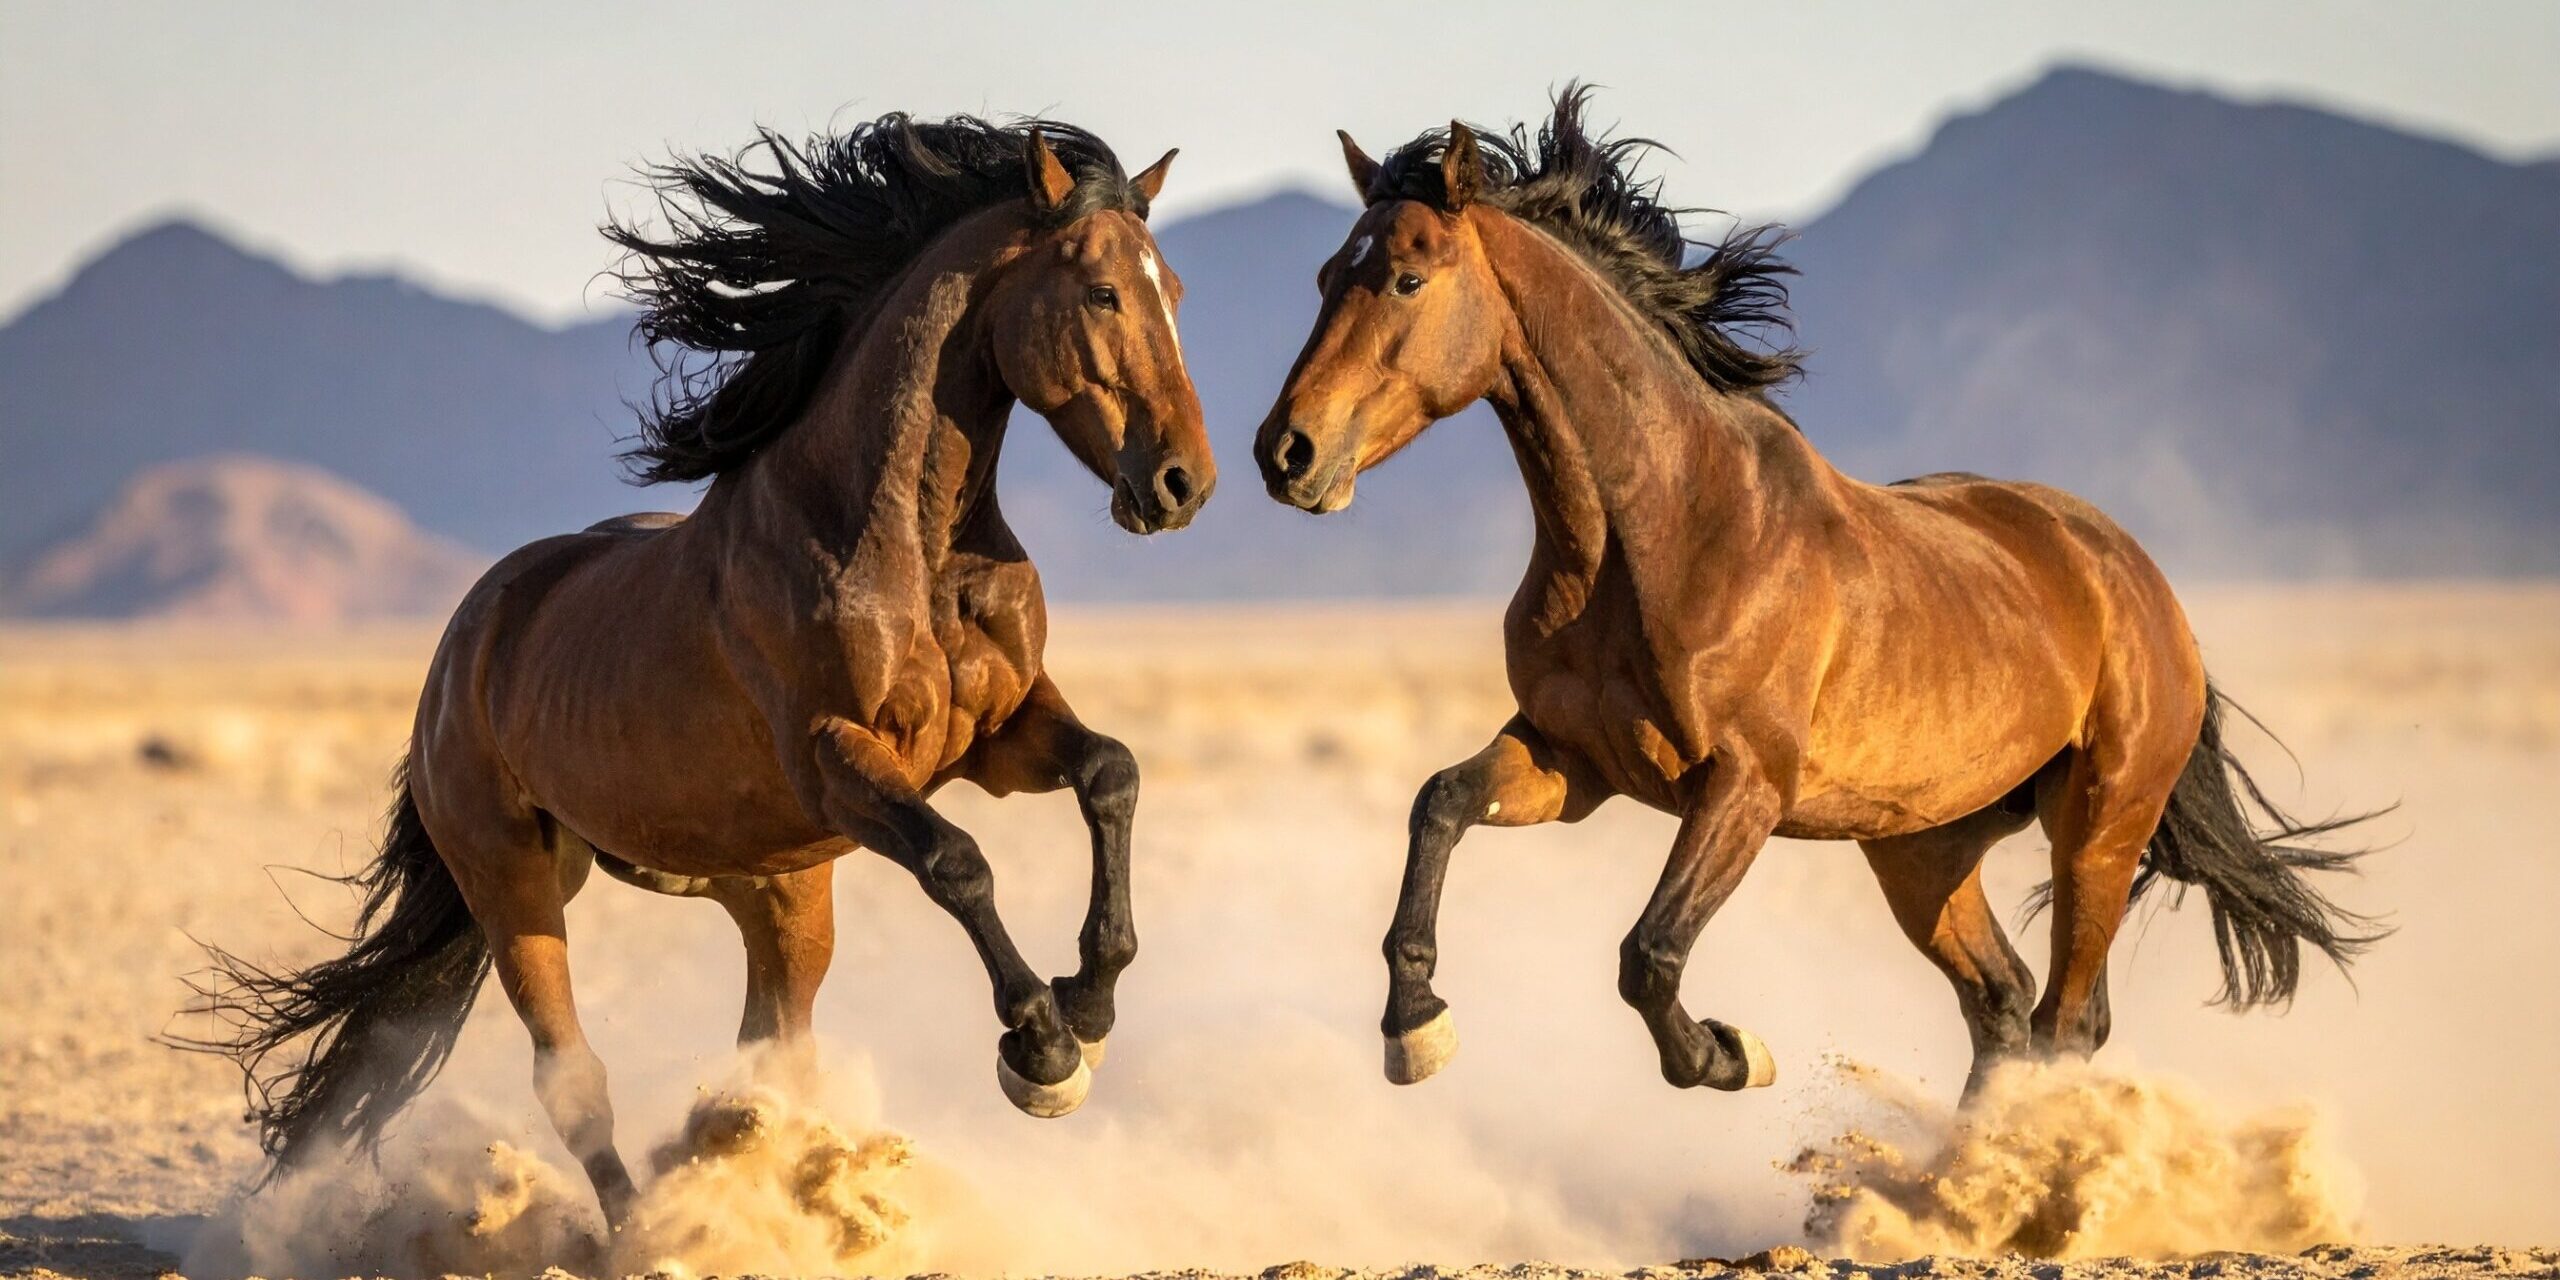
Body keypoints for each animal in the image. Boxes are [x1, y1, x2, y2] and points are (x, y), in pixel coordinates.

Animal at [182, 113, 1213, 1225]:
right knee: (573, 1078)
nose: (1182, 483)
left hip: (781, 894)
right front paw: (1043, 1049)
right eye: (1102, 291)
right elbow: (959, 861)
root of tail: (463, 646)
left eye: (1173, 289)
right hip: (513, 884)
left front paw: (1091, 999)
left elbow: (1111, 772)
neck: (904, 542)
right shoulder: (840, 761)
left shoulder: (999, 730)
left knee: (769, 1054)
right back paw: (646, 1228)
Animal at [1253, 89, 2379, 1099]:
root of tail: (2139, 580)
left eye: (1406, 276)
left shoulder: (1744, 787)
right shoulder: (1573, 760)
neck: (1660, 531)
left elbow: (1649, 954)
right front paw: (1417, 1029)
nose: (1284, 453)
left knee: (2065, 1019)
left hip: (2100, 823)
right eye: (1325, 275)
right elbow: (1438, 805)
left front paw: (1728, 1053)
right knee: (2004, 1004)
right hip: (1922, 850)